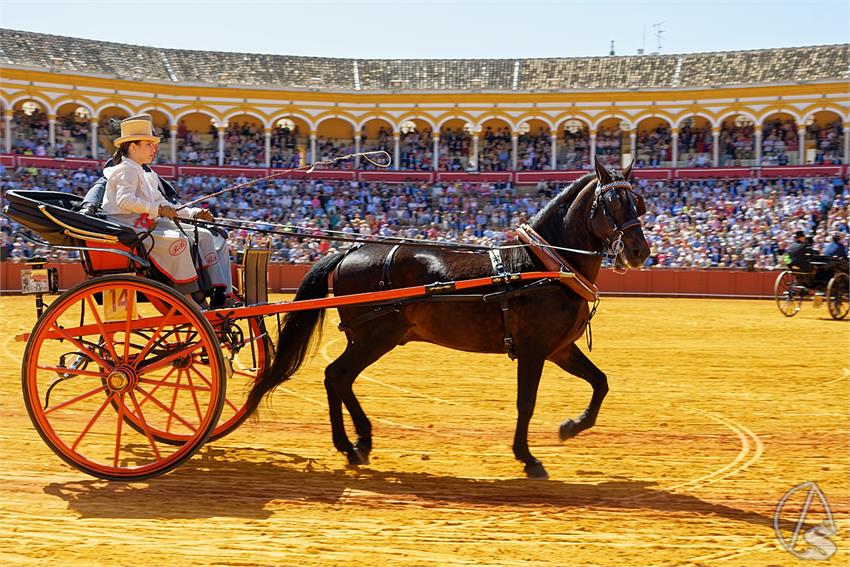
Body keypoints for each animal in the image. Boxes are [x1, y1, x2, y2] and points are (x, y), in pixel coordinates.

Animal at [245, 160, 648, 480]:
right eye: (612, 203)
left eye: (638, 203)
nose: (639, 251)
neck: (544, 264)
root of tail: (350, 250)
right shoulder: (534, 350)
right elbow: (527, 402)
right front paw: (528, 457)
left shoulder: (560, 348)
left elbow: (600, 383)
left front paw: (571, 427)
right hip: (376, 336)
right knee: (336, 376)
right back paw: (349, 442)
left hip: (370, 338)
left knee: (340, 379)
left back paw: (359, 441)